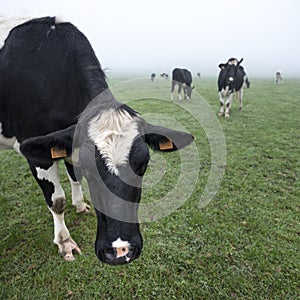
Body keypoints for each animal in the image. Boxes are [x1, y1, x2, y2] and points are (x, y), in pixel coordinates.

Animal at [0, 16, 195, 264]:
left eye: (144, 164)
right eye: (89, 168)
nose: (121, 251)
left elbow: (74, 176)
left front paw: (80, 205)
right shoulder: (37, 154)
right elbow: (57, 201)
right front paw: (65, 242)